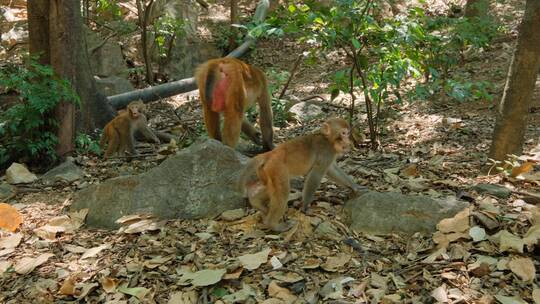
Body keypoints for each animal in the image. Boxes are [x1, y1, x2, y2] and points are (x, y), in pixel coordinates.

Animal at [237, 117, 368, 232]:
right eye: (343, 133)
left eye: (348, 133)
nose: (348, 141)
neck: (327, 139)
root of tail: (270, 154)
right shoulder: (326, 151)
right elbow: (316, 175)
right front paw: (305, 207)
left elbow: (332, 169)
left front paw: (355, 186)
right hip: (277, 169)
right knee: (282, 192)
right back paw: (273, 225)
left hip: (266, 171)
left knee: (271, 188)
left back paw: (257, 202)